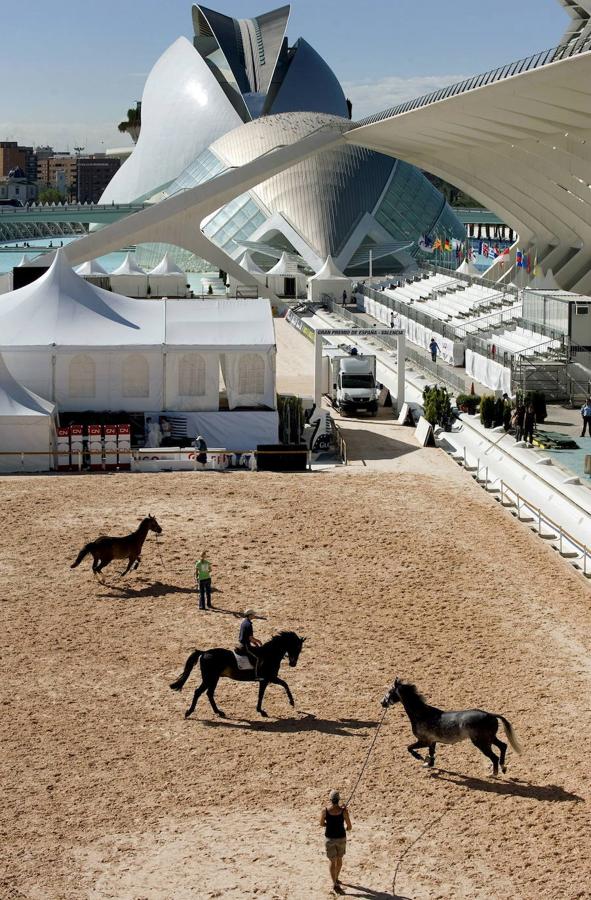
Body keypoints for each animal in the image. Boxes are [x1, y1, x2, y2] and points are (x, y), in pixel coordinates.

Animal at [166, 632, 306, 716]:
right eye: (297, 648)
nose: (293, 664)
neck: (270, 654)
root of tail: (204, 652)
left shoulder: (265, 680)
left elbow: (263, 694)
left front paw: (260, 710)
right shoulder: (268, 678)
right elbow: (283, 685)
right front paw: (291, 702)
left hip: (213, 679)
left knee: (209, 693)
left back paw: (218, 712)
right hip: (210, 678)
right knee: (199, 692)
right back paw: (189, 712)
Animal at [382, 680, 520, 776]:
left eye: (389, 692)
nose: (382, 703)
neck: (422, 714)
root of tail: (490, 715)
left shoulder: (424, 741)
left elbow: (409, 748)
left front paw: (420, 758)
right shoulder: (432, 742)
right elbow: (431, 753)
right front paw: (428, 763)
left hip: (482, 743)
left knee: (494, 757)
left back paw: (493, 774)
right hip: (490, 738)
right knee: (503, 746)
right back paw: (503, 768)